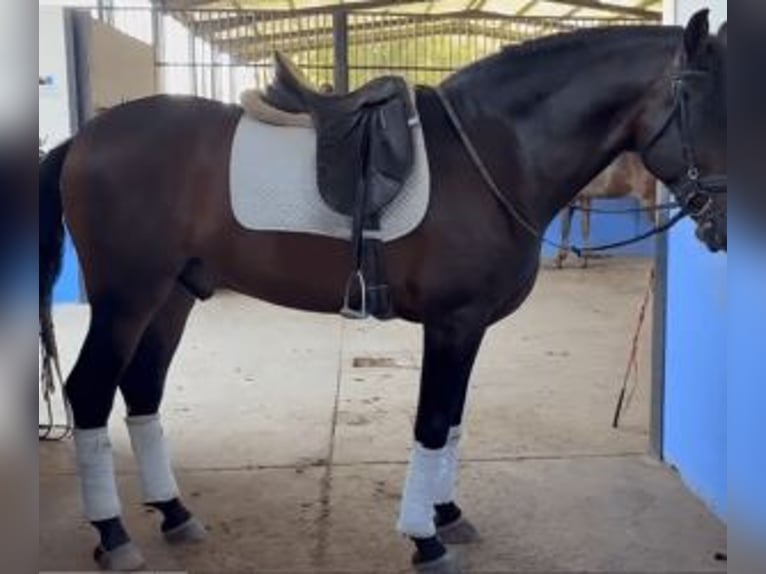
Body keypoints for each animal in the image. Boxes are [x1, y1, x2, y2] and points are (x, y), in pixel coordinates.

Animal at [39, 10, 727, 573]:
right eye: (709, 102)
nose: (725, 226)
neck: (494, 154)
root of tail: (84, 138)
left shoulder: (468, 327)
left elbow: (453, 422)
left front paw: (447, 515)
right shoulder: (453, 322)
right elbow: (433, 422)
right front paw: (426, 540)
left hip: (173, 296)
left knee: (142, 390)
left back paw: (175, 514)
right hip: (127, 297)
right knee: (91, 392)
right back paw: (114, 534)